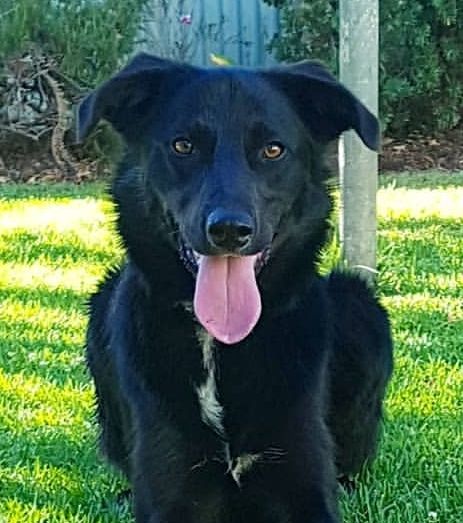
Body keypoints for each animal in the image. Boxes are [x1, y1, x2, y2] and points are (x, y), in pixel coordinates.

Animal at [78, 54, 394, 523]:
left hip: (360, 304)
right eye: (183, 146)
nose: (229, 229)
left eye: (273, 150)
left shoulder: (305, 484)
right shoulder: (170, 489)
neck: (219, 343)